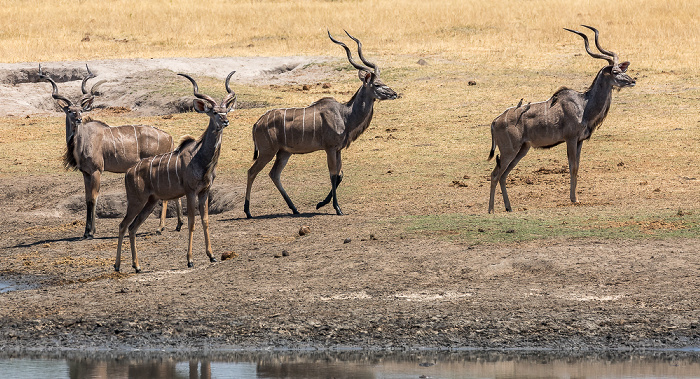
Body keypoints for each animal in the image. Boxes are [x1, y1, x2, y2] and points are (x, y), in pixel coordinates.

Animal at [39, 64, 183, 238]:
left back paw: (160, 228)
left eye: (80, 110)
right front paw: (87, 231)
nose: (78, 119)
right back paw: (179, 224)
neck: (84, 139)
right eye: (70, 110)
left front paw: (90, 232)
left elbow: (93, 198)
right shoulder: (86, 173)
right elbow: (87, 198)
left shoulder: (96, 171)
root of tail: (169, 137)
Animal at [115, 71, 235, 274]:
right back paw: (117, 266)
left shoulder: (205, 192)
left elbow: (205, 221)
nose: (225, 121)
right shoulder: (190, 192)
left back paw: (137, 266)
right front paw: (190, 260)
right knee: (123, 225)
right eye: (214, 112)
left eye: (225, 110)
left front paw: (211, 256)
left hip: (150, 202)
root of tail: (129, 172)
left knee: (132, 228)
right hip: (137, 200)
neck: (201, 159)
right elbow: (192, 222)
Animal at [243, 30, 396, 218]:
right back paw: (248, 211)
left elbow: (340, 175)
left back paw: (294, 209)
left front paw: (320, 204)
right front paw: (337, 208)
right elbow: (333, 174)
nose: (394, 93)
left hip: (284, 153)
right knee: (252, 172)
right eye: (377, 84)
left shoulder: (338, 150)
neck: (345, 115)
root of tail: (257, 123)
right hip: (267, 152)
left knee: (274, 174)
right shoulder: (330, 148)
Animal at [486, 26, 636, 214]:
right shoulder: (570, 139)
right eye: (615, 71)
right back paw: (491, 210)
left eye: (623, 70)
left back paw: (509, 207)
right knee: (495, 174)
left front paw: (576, 198)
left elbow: (577, 166)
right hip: (509, 150)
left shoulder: (580, 141)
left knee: (503, 175)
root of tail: (494, 122)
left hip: (522, 150)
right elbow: (573, 167)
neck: (584, 104)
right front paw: (574, 199)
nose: (632, 81)